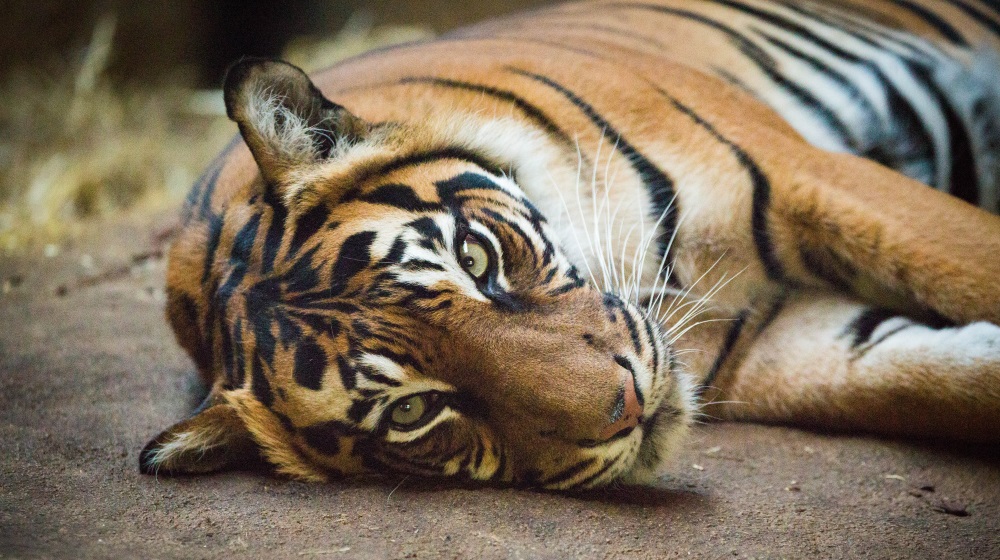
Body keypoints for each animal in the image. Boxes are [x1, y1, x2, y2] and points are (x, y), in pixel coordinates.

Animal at [140, 0, 1000, 491]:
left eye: (476, 259)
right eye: (416, 409)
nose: (628, 406)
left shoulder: (807, 173)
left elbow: (972, 264)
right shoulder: (779, 342)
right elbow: (941, 383)